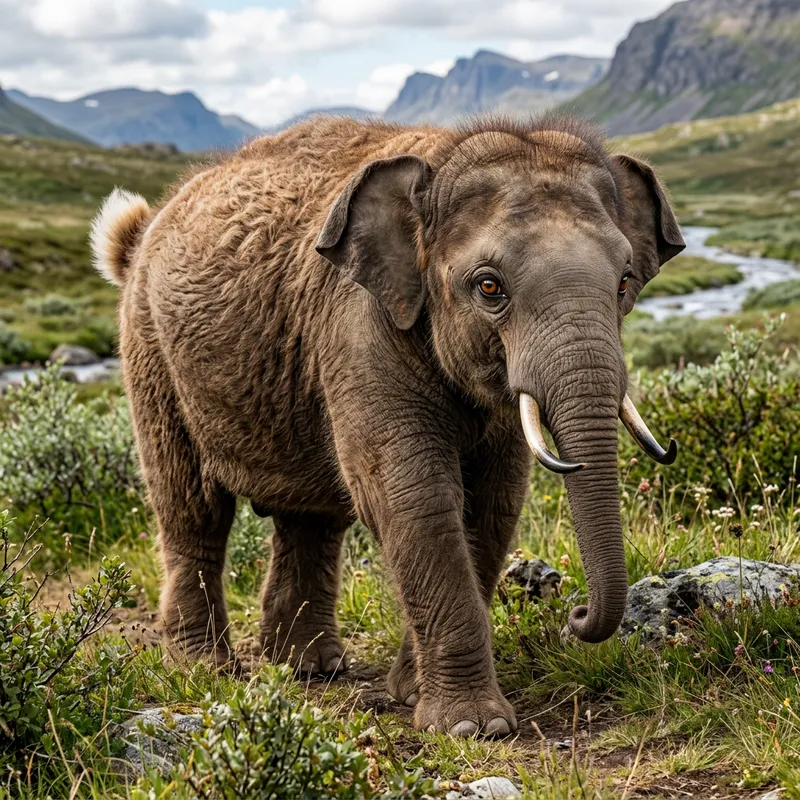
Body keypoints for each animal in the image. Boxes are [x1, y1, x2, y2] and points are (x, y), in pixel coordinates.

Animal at [90, 114, 684, 737]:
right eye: (489, 286)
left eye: (624, 283)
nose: (575, 613)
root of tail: (139, 236)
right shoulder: (359, 327)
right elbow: (412, 496)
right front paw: (470, 727)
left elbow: (494, 502)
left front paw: (411, 694)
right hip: (150, 354)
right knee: (192, 507)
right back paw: (206, 668)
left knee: (311, 518)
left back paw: (308, 667)